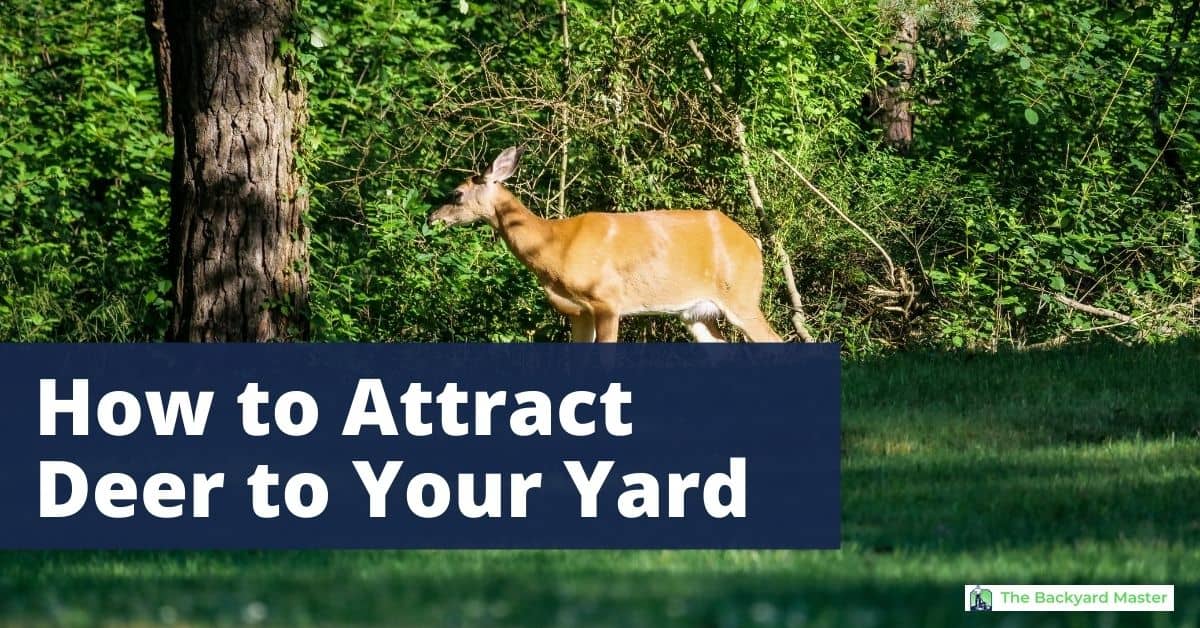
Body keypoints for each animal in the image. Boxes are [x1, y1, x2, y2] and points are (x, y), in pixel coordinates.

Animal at [428, 146, 782, 343]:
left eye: (456, 194)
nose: (432, 218)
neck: (555, 246)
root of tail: (753, 243)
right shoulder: (578, 311)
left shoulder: (607, 299)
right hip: (695, 313)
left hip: (740, 296)